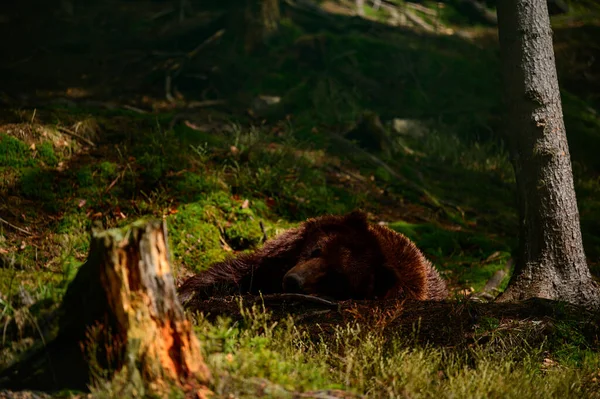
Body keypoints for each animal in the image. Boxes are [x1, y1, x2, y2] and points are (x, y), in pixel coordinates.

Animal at [176, 211, 448, 308]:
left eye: (337, 275)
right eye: (317, 250)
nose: (293, 281)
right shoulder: (278, 257)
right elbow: (236, 270)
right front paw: (186, 292)